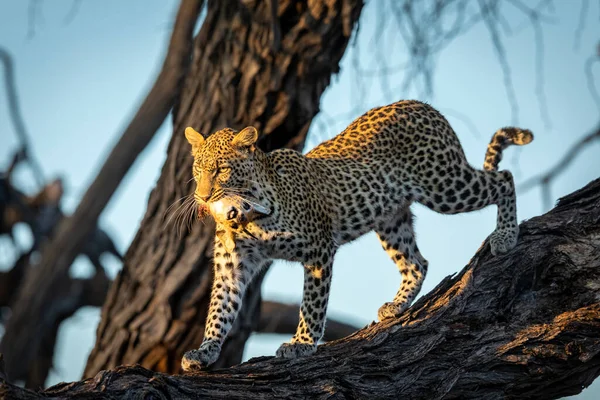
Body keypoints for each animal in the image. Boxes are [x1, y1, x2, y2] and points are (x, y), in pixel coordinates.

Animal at [180, 100, 532, 372]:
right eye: (197, 170)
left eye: (221, 170)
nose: (202, 196)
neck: (247, 215)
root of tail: (423, 106)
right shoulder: (232, 264)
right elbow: (220, 310)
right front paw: (205, 351)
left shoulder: (319, 249)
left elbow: (312, 304)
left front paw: (301, 344)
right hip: (391, 219)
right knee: (417, 262)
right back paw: (397, 305)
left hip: (444, 185)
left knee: (503, 178)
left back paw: (505, 235)